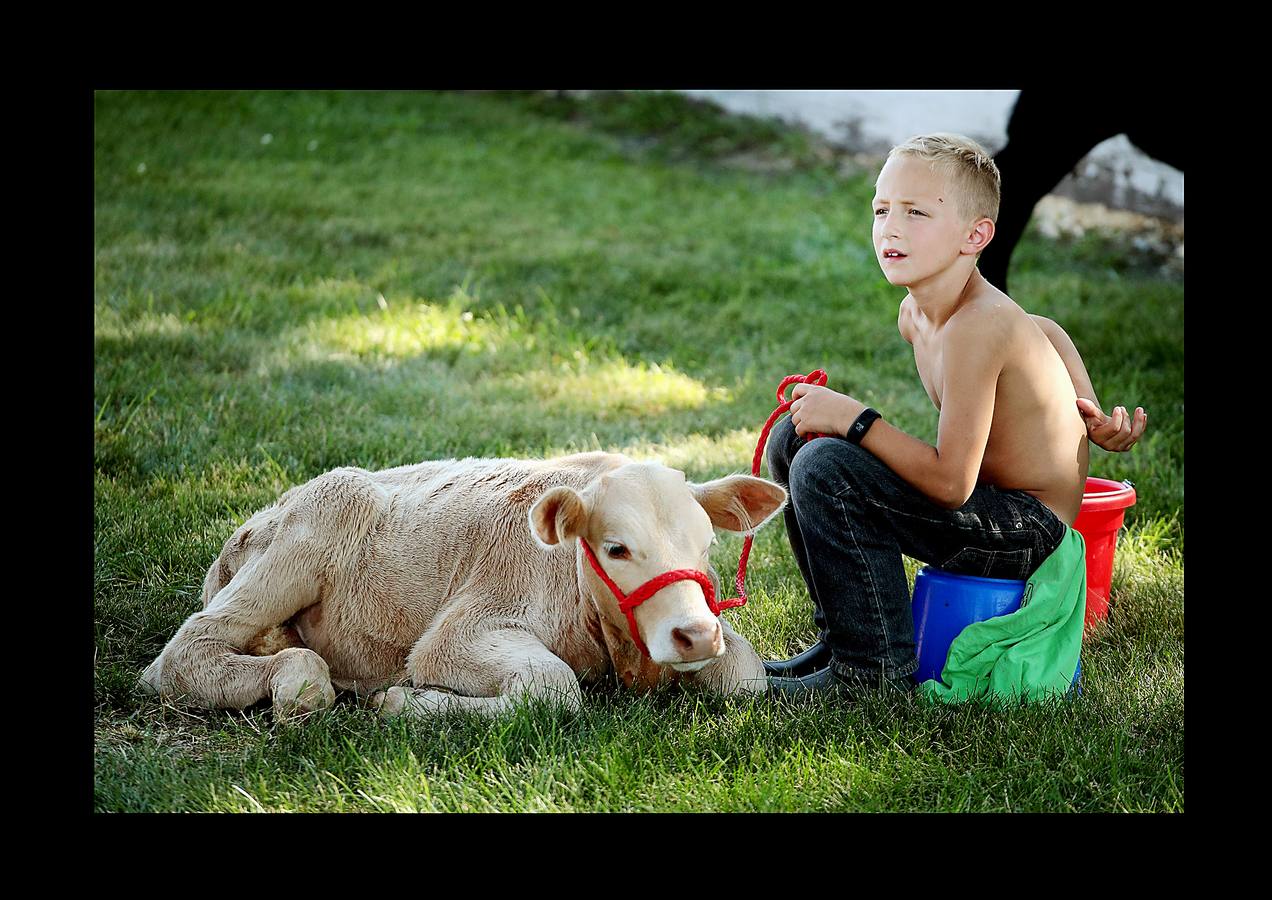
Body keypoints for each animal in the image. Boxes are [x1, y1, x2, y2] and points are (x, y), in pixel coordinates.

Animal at [141, 452, 783, 722]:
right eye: (616, 549)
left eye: (707, 545)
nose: (695, 635)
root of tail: (262, 515)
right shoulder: (456, 633)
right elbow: (555, 688)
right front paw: (403, 702)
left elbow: (747, 676)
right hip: (319, 522)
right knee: (182, 655)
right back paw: (301, 681)